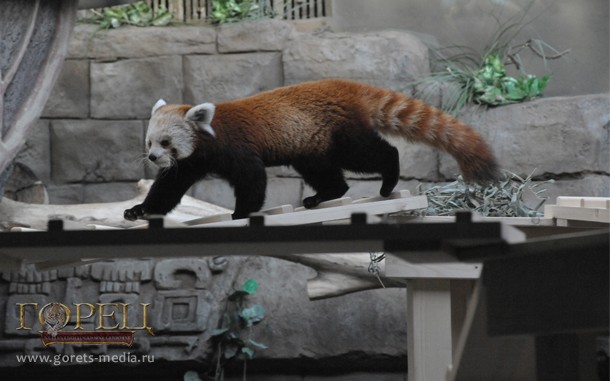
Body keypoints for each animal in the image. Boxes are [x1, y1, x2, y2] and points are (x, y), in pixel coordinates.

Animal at [123, 78, 498, 220]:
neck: (207, 141)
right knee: (327, 174)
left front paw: (241, 213)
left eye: (166, 143)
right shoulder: (190, 163)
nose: (153, 157)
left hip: (342, 135)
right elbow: (168, 188)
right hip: (311, 145)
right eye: (150, 143)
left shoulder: (234, 148)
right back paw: (323, 196)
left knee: (374, 153)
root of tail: (347, 86)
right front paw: (139, 210)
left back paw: (388, 180)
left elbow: (252, 179)